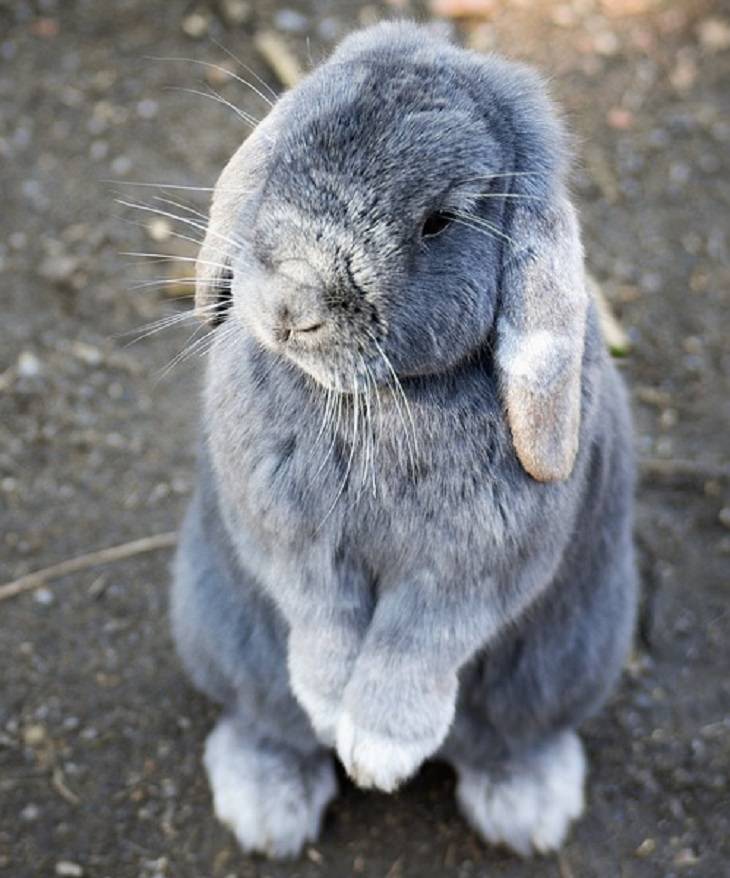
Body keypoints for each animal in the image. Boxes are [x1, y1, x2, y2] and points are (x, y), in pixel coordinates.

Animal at [168, 18, 636, 860]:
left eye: (438, 222)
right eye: (282, 157)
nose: (291, 307)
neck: (379, 399)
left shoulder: (470, 571)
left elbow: (418, 643)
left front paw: (380, 754)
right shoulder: (292, 542)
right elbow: (321, 617)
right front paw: (333, 712)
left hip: (566, 664)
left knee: (511, 738)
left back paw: (528, 809)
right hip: (220, 634)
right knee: (266, 720)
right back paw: (266, 808)